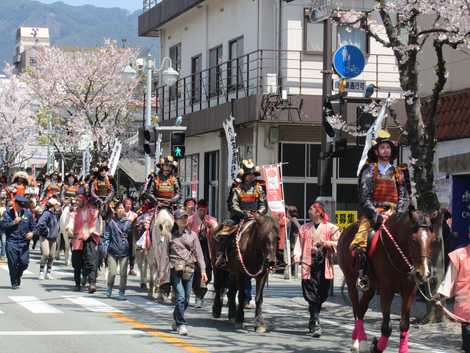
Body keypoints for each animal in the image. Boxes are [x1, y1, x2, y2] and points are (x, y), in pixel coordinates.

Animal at [336, 210, 438, 350]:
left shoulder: (409, 290)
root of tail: (345, 231)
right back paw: (357, 343)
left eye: (432, 240)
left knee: (361, 309)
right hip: (350, 279)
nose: (423, 273)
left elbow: (404, 325)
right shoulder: (386, 289)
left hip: (371, 286)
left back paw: (361, 341)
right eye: (413, 240)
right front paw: (376, 347)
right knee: (356, 309)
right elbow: (386, 328)